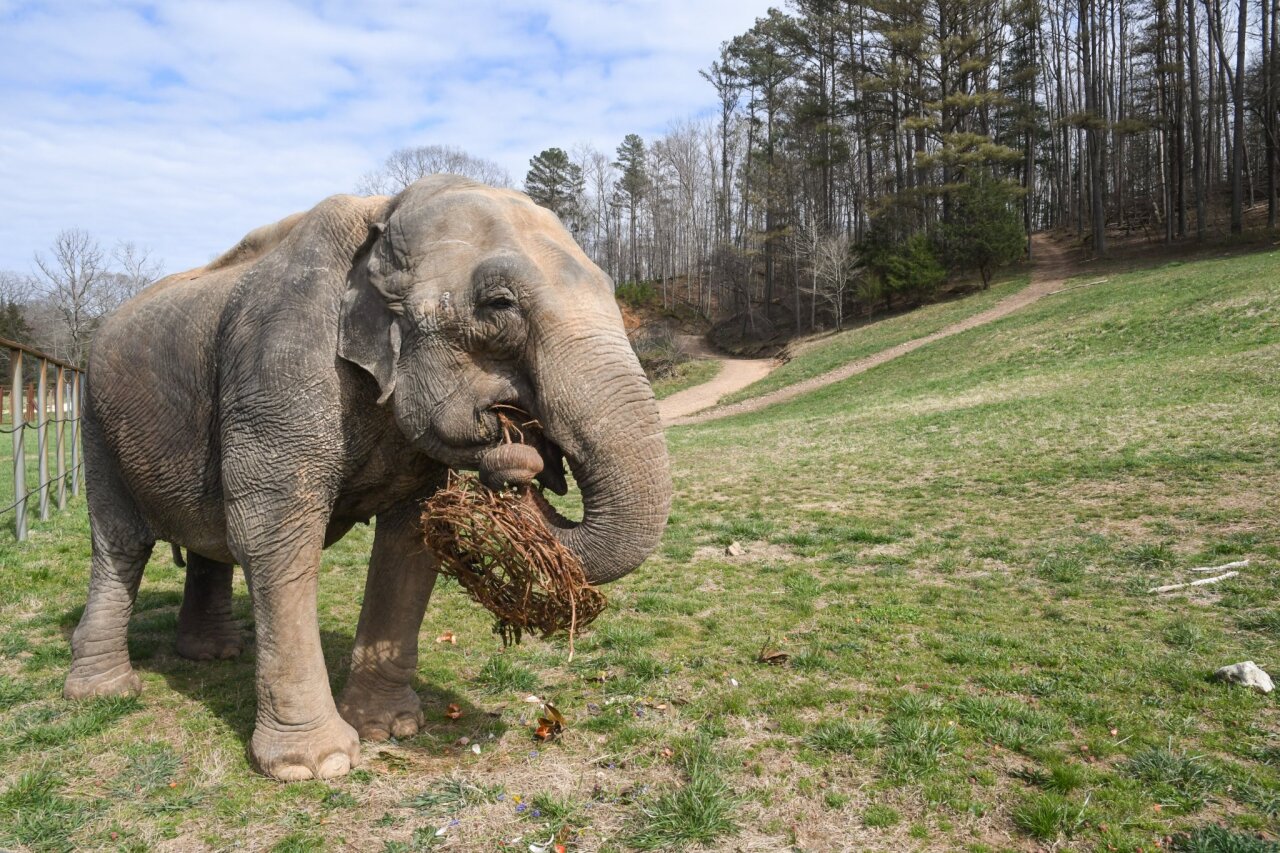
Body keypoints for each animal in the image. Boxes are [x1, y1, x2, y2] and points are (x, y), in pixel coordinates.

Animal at [62, 175, 670, 778]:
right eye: (499, 304)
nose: (519, 455)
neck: (386, 209)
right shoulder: (279, 368)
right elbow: (272, 535)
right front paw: (317, 765)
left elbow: (411, 542)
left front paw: (389, 729)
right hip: (95, 422)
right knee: (120, 545)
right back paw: (103, 692)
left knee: (207, 542)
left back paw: (214, 655)